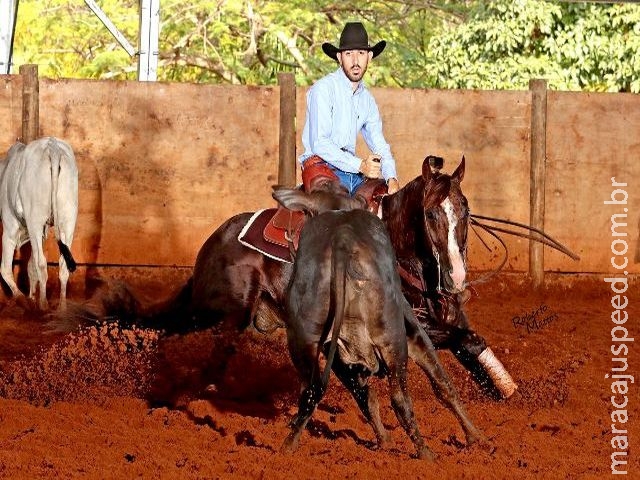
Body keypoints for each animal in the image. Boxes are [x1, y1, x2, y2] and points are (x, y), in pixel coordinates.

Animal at [0, 137, 79, 310]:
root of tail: (53, 146)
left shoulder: (10, 230)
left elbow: (5, 269)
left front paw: (23, 299)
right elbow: (30, 267)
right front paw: (30, 297)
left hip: (35, 220)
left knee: (41, 264)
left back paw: (43, 305)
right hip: (68, 221)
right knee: (62, 265)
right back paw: (62, 308)